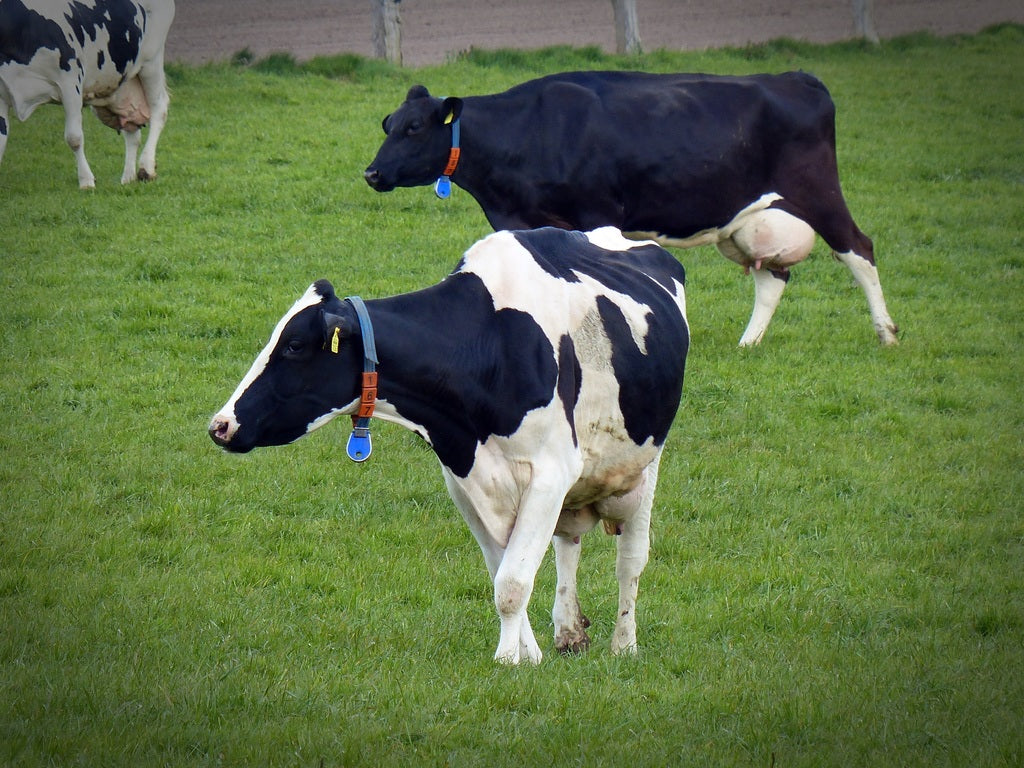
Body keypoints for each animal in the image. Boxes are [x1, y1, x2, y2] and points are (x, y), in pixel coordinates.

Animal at [0, 0, 174, 188]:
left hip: (151, 61)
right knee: (132, 131)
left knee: (159, 109)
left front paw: (86, 181)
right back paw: (128, 177)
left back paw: (146, 167)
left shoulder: (70, 79)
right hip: (118, 85)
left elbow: (74, 137)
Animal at [208, 226, 690, 665]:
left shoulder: (551, 473)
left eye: (293, 345)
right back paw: (569, 633)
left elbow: (513, 582)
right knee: (566, 547)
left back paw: (624, 645)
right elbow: (503, 572)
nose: (220, 425)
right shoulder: (464, 479)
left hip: (644, 467)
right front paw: (528, 655)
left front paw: (506, 660)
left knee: (630, 561)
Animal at [364, 71, 899, 347]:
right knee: (774, 277)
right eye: (387, 122)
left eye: (414, 127)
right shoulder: (522, 219)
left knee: (858, 249)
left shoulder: (598, 214)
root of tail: (796, 77)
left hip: (818, 192)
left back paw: (887, 333)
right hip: (749, 222)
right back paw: (749, 342)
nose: (371, 173)